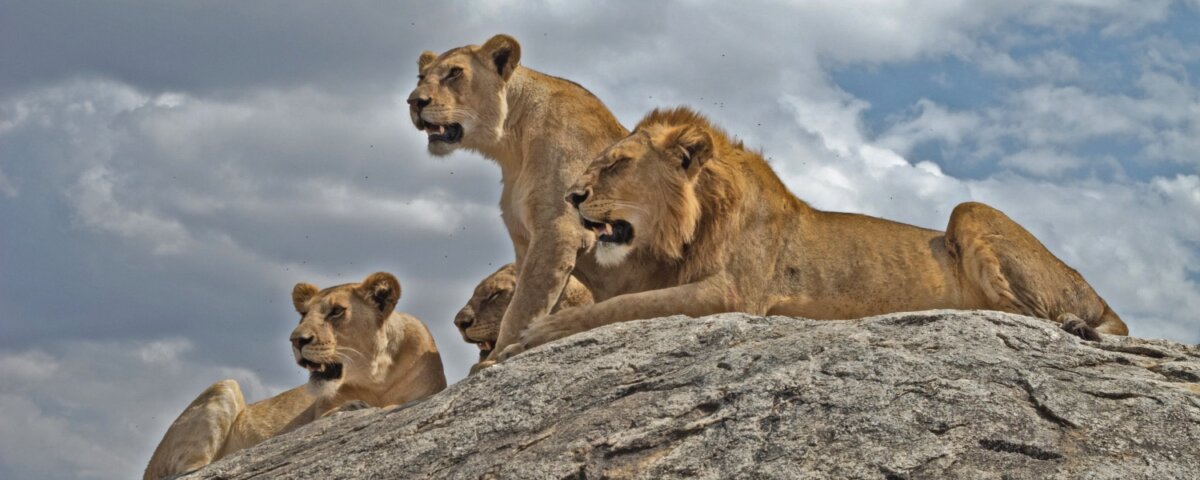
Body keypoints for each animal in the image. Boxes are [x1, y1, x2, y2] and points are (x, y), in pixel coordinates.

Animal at [143, 272, 446, 480]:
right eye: (303, 313)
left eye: (337, 311)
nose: (296, 340)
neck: (377, 378)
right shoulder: (317, 413)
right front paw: (353, 407)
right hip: (225, 386)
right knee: (192, 471)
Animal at [500, 107, 1128, 357]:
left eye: (616, 164)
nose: (572, 197)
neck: (696, 221)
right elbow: (614, 298)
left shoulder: (732, 293)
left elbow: (616, 310)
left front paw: (533, 334)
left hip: (968, 210)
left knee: (1035, 314)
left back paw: (1075, 324)